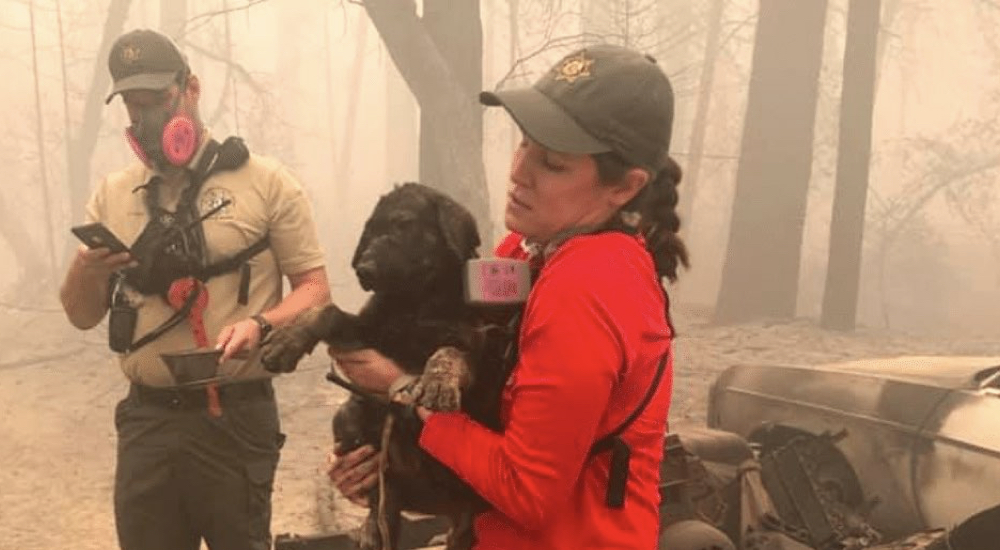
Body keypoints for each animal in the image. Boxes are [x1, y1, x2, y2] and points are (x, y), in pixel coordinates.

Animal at [260, 184, 508, 550]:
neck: (414, 304)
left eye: (404, 224)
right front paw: (287, 340)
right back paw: (371, 530)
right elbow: (327, 312)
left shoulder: (473, 346)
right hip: (349, 418)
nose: (364, 269)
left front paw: (437, 382)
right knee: (383, 499)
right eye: (371, 230)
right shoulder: (365, 333)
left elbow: (448, 352)